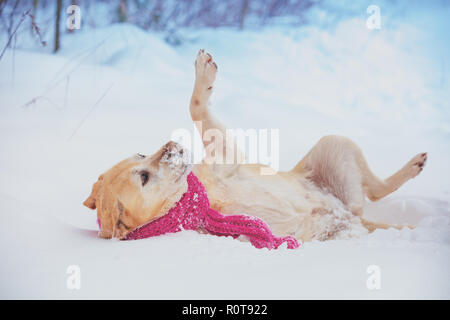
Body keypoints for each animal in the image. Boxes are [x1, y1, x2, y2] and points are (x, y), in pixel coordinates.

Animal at [83, 49, 426, 240]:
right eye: (144, 177)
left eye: (141, 154)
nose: (170, 144)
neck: (201, 199)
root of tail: (350, 217)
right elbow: (196, 106)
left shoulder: (226, 159)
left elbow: (197, 107)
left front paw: (203, 71)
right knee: (376, 192)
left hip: (335, 145)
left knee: (375, 188)